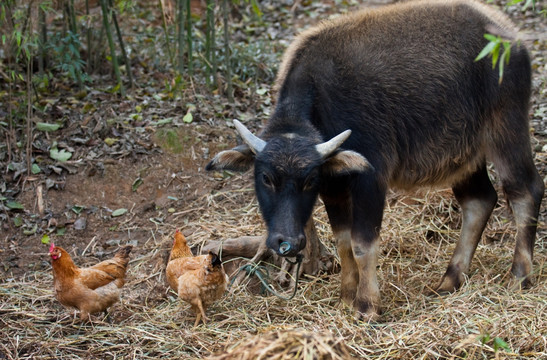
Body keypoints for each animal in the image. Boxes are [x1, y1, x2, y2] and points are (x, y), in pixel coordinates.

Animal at [208, 0, 544, 316]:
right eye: (265, 177)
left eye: (308, 181)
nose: (287, 242)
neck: (322, 101)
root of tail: (512, 38)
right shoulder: (334, 188)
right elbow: (343, 242)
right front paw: (346, 296)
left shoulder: (371, 179)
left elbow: (362, 244)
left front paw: (367, 305)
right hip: (465, 155)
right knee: (479, 201)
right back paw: (450, 279)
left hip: (506, 130)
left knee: (525, 191)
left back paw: (519, 275)